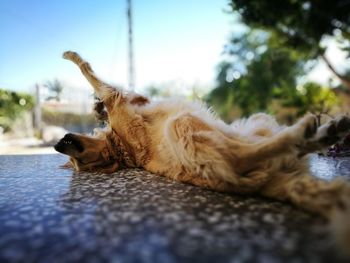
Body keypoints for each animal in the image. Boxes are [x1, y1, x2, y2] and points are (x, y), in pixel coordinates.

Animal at [54, 50, 350, 255]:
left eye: (78, 161)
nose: (59, 144)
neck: (120, 149)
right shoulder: (116, 98)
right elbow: (88, 71)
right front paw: (71, 56)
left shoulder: (123, 102)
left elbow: (106, 93)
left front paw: (96, 110)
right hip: (184, 125)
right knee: (240, 156)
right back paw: (305, 134)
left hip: (259, 126)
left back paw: (326, 133)